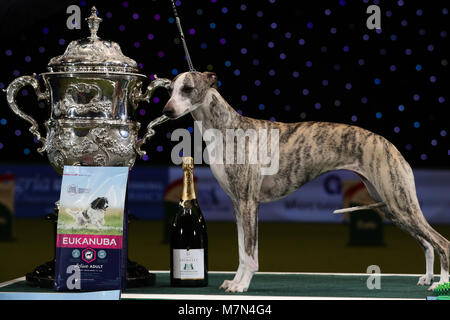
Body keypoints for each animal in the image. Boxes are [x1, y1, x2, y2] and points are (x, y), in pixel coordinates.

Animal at [162, 71, 450, 292]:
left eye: (187, 89)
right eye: (170, 89)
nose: (167, 110)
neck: (228, 128)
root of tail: (392, 147)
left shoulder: (248, 203)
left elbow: (250, 253)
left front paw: (242, 285)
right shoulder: (237, 204)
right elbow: (243, 252)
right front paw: (234, 282)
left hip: (399, 203)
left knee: (441, 242)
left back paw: (441, 283)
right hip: (391, 206)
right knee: (427, 243)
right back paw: (427, 278)